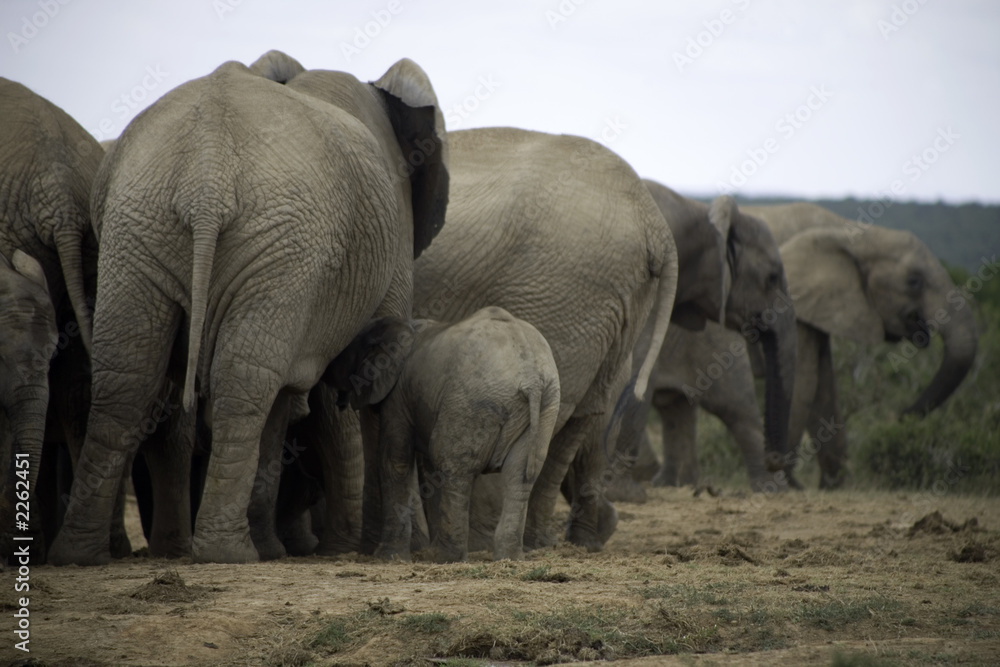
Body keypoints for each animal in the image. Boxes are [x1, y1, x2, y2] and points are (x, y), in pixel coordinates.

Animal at [48, 52, 449, 565]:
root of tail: (207, 176)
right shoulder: (391, 243)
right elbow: (367, 400)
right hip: (281, 241)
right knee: (245, 381)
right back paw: (228, 552)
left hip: (139, 226)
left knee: (127, 380)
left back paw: (80, 553)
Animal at [327, 307, 561, 562]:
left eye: (345, 352)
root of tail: (531, 378)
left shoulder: (398, 396)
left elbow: (395, 460)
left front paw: (387, 557)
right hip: (545, 407)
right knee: (519, 475)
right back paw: (508, 558)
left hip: (471, 401)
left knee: (453, 466)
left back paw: (445, 557)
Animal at [410, 127, 679, 553]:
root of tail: (654, 223)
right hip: (616, 300)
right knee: (580, 412)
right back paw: (546, 541)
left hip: (562, 289)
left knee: (561, 408)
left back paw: (493, 541)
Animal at [609, 181, 796, 497]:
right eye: (771, 277)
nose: (778, 458)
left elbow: (633, 370)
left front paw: (622, 496)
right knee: (676, 409)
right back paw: (672, 484)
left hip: (718, 348)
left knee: (737, 411)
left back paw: (769, 491)